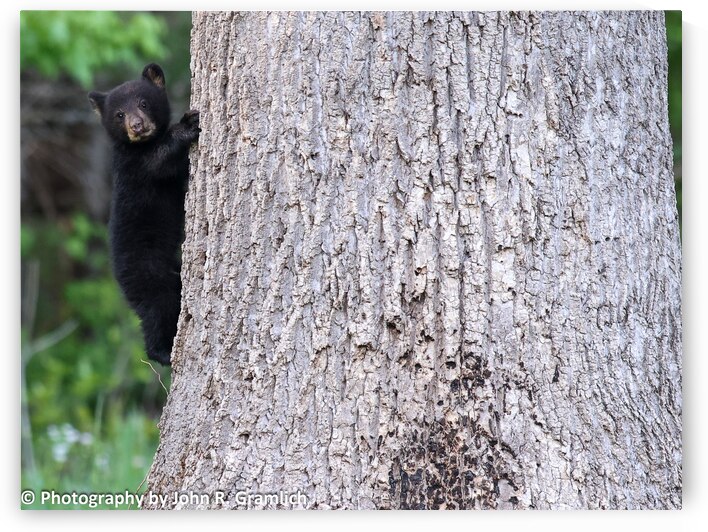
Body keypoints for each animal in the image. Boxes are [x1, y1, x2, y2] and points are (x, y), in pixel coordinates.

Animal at [88, 63, 200, 365]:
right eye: (119, 114)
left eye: (143, 103)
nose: (137, 126)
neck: (140, 145)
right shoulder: (136, 167)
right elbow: (159, 161)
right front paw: (187, 126)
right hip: (148, 273)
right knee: (157, 308)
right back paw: (163, 352)